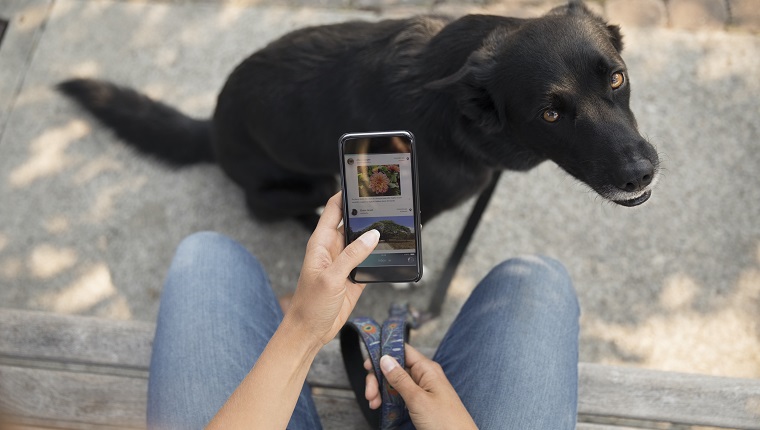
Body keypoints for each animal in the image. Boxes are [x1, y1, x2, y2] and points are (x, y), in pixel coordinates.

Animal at [59, 1, 660, 225]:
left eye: (616, 77)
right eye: (549, 115)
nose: (641, 174)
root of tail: (211, 125)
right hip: (295, 184)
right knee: (265, 206)